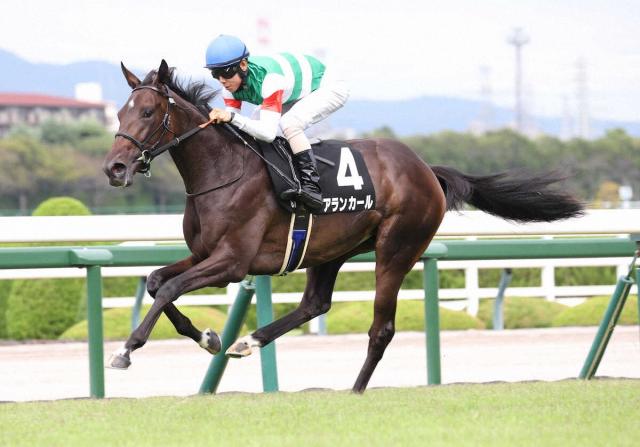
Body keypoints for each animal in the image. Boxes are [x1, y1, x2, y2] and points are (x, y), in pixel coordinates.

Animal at [103, 60, 583, 393]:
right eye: (120, 113)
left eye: (148, 112)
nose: (115, 168)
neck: (224, 171)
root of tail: (426, 169)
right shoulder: (205, 254)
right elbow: (156, 281)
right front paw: (207, 336)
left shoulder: (232, 262)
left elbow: (169, 288)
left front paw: (126, 350)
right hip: (330, 250)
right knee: (315, 304)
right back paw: (248, 342)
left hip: (396, 249)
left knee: (380, 329)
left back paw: (355, 389)